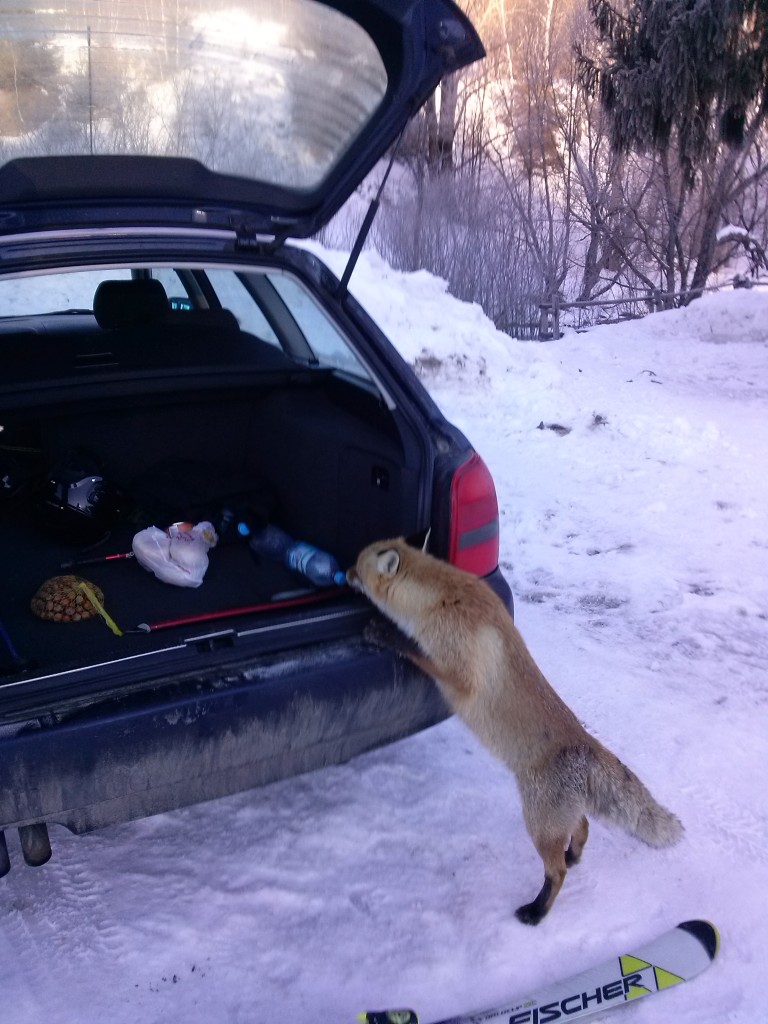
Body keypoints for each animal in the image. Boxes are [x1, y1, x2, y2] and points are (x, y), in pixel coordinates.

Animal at [346, 540, 684, 925]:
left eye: (357, 566)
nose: (342, 573)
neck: (440, 599)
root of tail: (586, 742)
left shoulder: (459, 676)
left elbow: (415, 650)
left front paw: (385, 634)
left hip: (536, 822)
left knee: (556, 871)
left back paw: (537, 911)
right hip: (552, 818)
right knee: (582, 826)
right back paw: (573, 855)